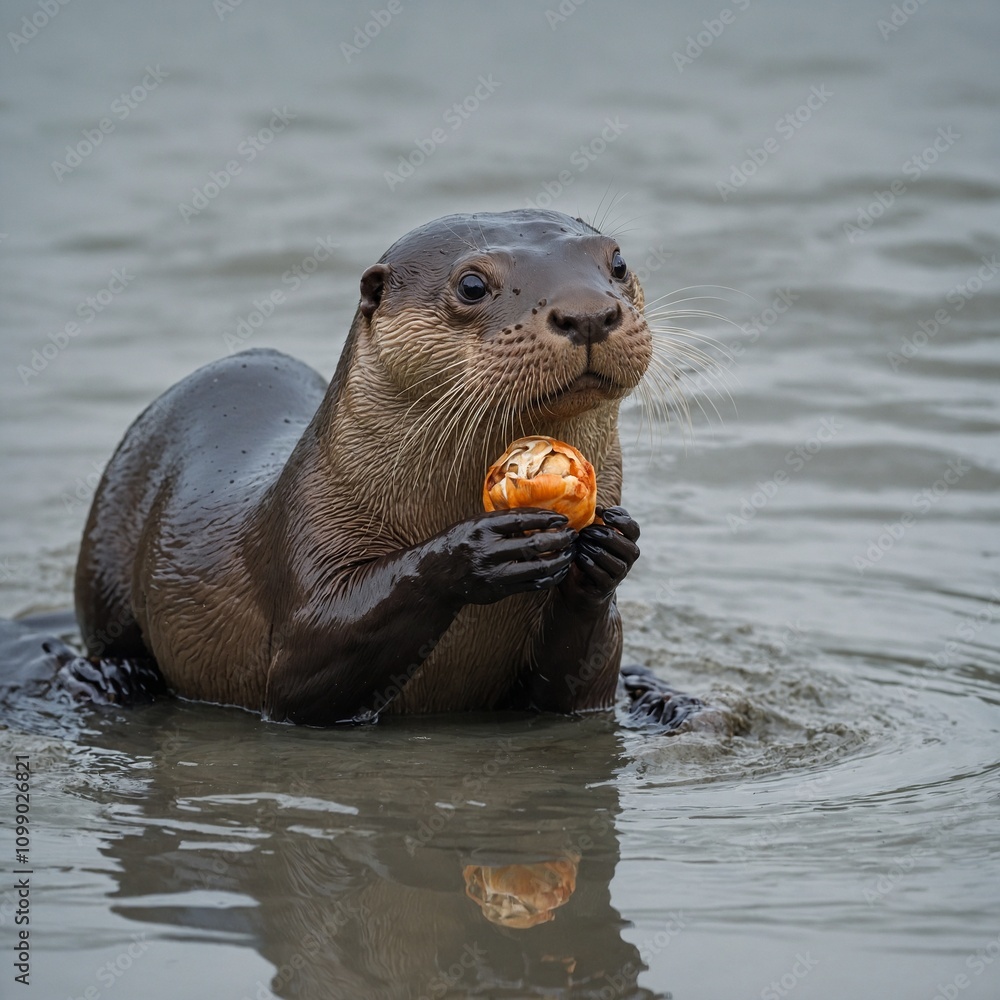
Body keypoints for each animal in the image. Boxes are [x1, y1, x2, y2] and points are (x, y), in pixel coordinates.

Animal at [69, 210, 702, 728]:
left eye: (617, 262)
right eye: (472, 285)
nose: (588, 313)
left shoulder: (579, 686)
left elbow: (575, 688)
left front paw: (611, 551)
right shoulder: (305, 532)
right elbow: (303, 668)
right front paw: (476, 550)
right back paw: (112, 676)